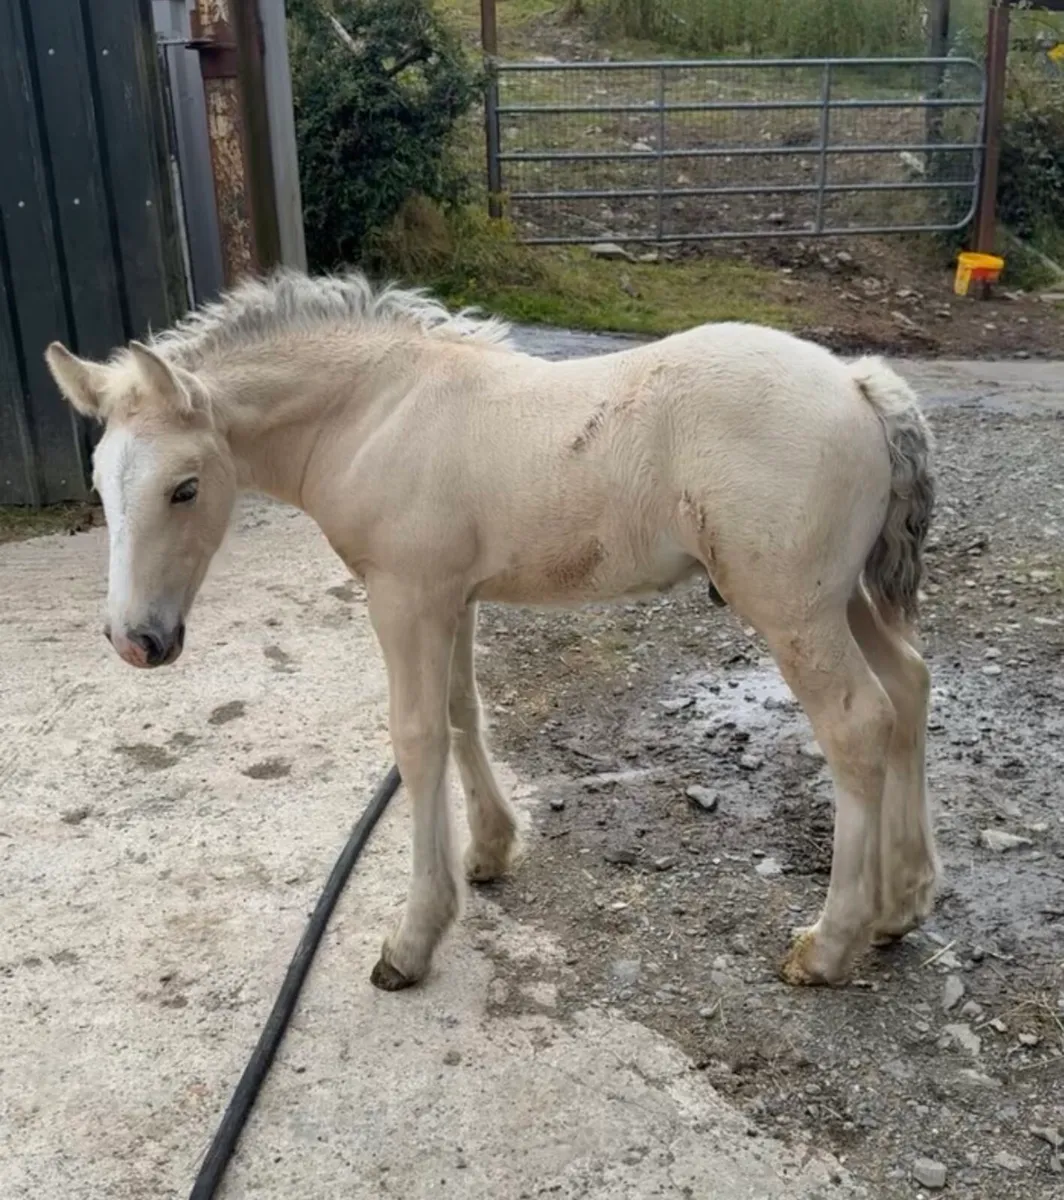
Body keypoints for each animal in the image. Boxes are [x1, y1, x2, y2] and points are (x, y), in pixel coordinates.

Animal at [45, 267, 938, 993]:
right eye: (99, 480)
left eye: (185, 488)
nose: (136, 641)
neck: (372, 412)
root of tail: (858, 382)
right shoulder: (452, 596)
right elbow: (461, 712)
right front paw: (489, 852)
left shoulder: (403, 597)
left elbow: (415, 738)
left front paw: (412, 940)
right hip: (845, 597)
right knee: (909, 688)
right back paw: (904, 901)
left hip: (791, 607)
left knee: (857, 723)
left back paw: (829, 945)